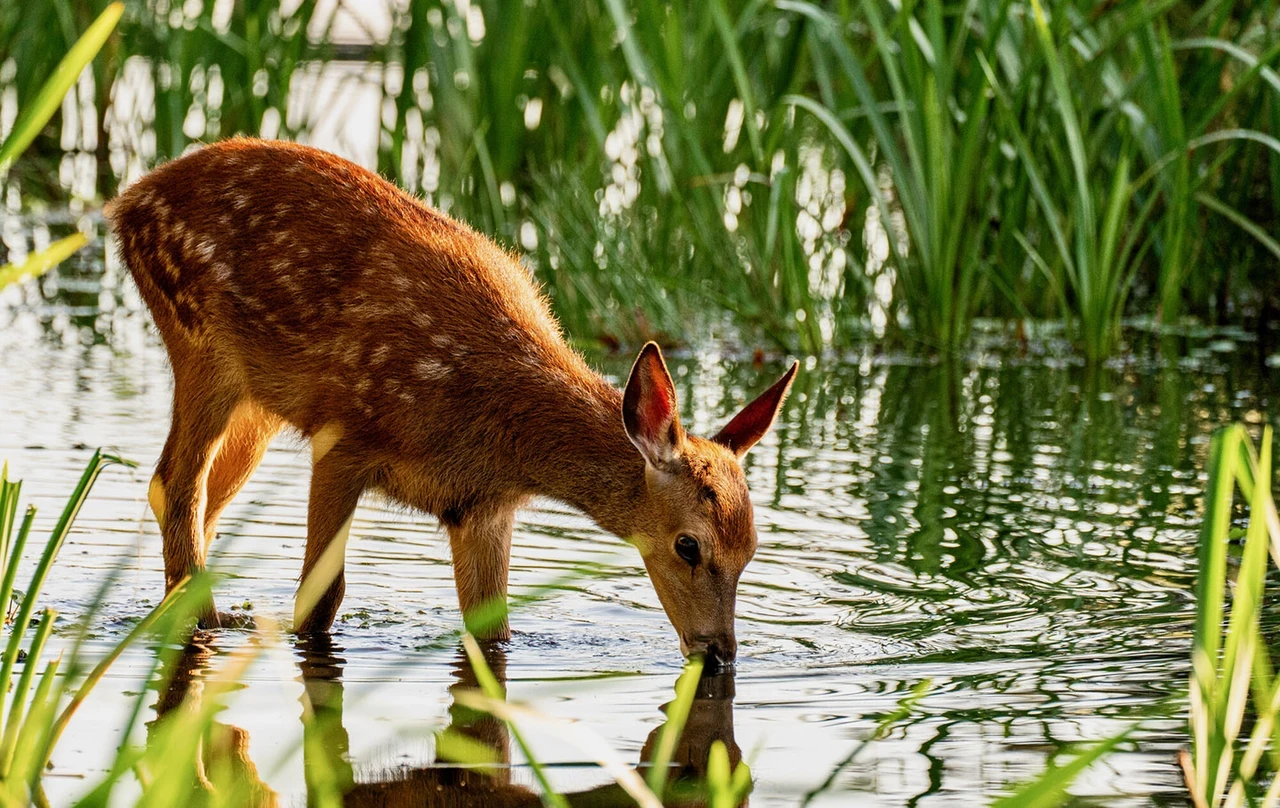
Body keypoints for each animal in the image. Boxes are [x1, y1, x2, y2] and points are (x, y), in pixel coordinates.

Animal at [106, 138, 796, 667]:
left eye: (753, 548)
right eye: (688, 545)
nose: (719, 652)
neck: (496, 422)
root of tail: (128, 201)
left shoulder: (479, 508)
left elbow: (493, 630)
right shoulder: (344, 435)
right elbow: (322, 601)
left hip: (259, 404)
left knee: (202, 499)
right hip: (204, 347)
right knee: (176, 485)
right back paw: (203, 621)